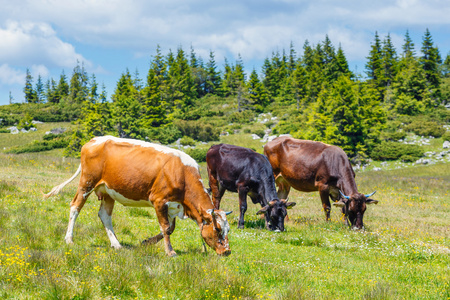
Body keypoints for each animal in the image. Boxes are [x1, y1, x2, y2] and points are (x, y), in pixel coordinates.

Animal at [44, 136, 232, 255]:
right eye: (217, 229)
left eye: (228, 229)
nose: (227, 251)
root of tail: (93, 140)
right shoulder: (159, 200)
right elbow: (166, 228)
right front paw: (170, 252)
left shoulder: (174, 205)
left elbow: (170, 228)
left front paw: (147, 242)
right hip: (87, 182)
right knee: (75, 207)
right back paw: (69, 239)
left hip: (108, 190)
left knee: (104, 215)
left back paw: (117, 244)